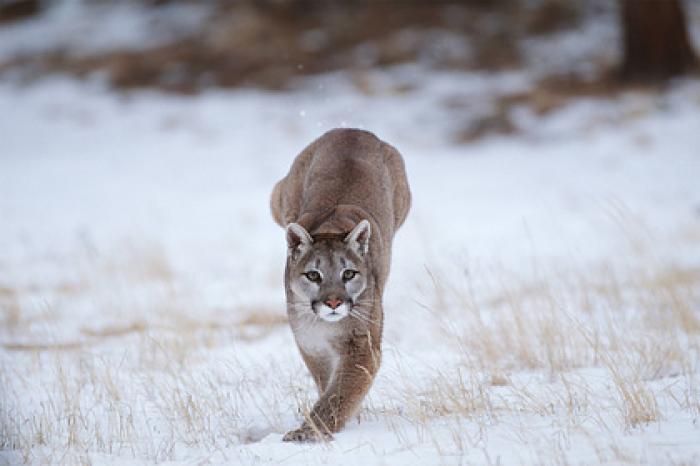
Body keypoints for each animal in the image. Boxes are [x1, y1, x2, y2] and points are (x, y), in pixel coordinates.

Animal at [268, 127, 410, 440]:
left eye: (348, 274)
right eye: (313, 275)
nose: (333, 302)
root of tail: (354, 130)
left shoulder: (361, 346)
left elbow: (339, 392)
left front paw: (309, 432)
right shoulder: (311, 344)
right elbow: (329, 385)